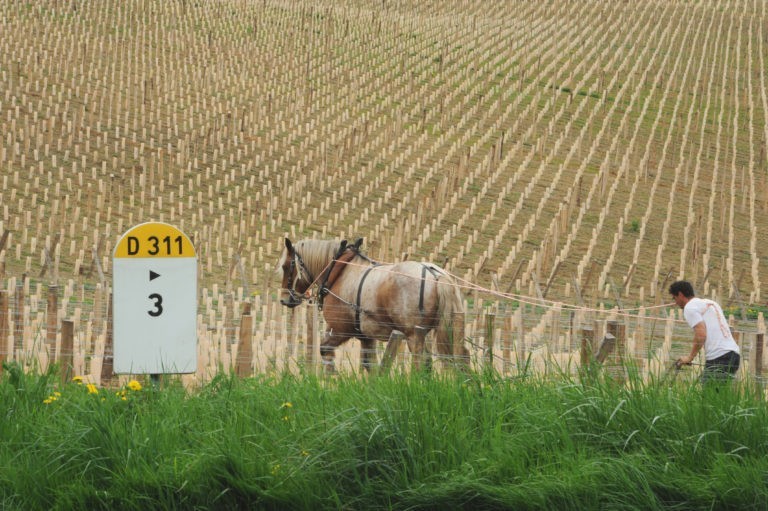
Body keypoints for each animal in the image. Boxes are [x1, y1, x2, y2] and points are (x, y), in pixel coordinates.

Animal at [276, 238, 468, 374]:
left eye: (286, 266)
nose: (284, 299)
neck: (339, 271)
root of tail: (435, 274)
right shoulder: (366, 337)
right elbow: (370, 365)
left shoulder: (340, 330)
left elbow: (325, 352)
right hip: (450, 329)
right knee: (461, 358)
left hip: (414, 335)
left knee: (421, 363)